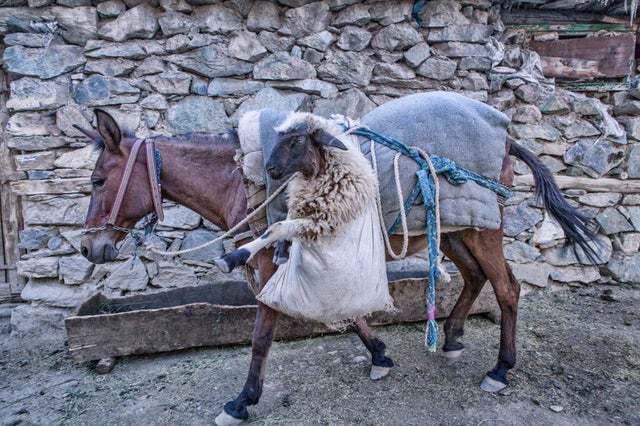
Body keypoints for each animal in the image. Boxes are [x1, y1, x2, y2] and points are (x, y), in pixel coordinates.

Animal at [79, 107, 596, 425]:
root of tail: (506, 137)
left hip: (481, 228)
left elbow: (262, 335)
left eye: (99, 180)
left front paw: (242, 402)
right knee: (475, 277)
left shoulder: (272, 264)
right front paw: (380, 354)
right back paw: (451, 339)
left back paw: (500, 370)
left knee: (506, 288)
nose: (89, 248)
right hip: (455, 230)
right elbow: (347, 312)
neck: (241, 178)